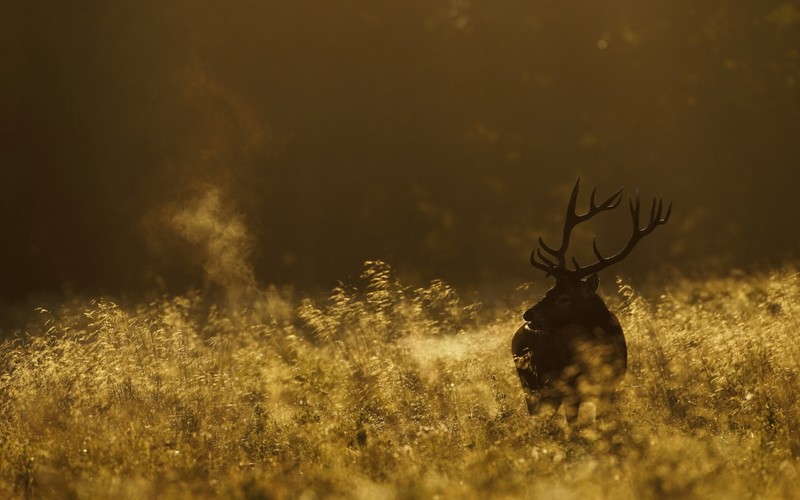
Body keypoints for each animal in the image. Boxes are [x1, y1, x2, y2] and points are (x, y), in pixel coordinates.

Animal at [512, 179, 668, 430]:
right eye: (549, 290)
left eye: (564, 297)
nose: (529, 314)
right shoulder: (571, 389)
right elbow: (575, 427)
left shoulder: (610, 386)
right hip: (531, 384)